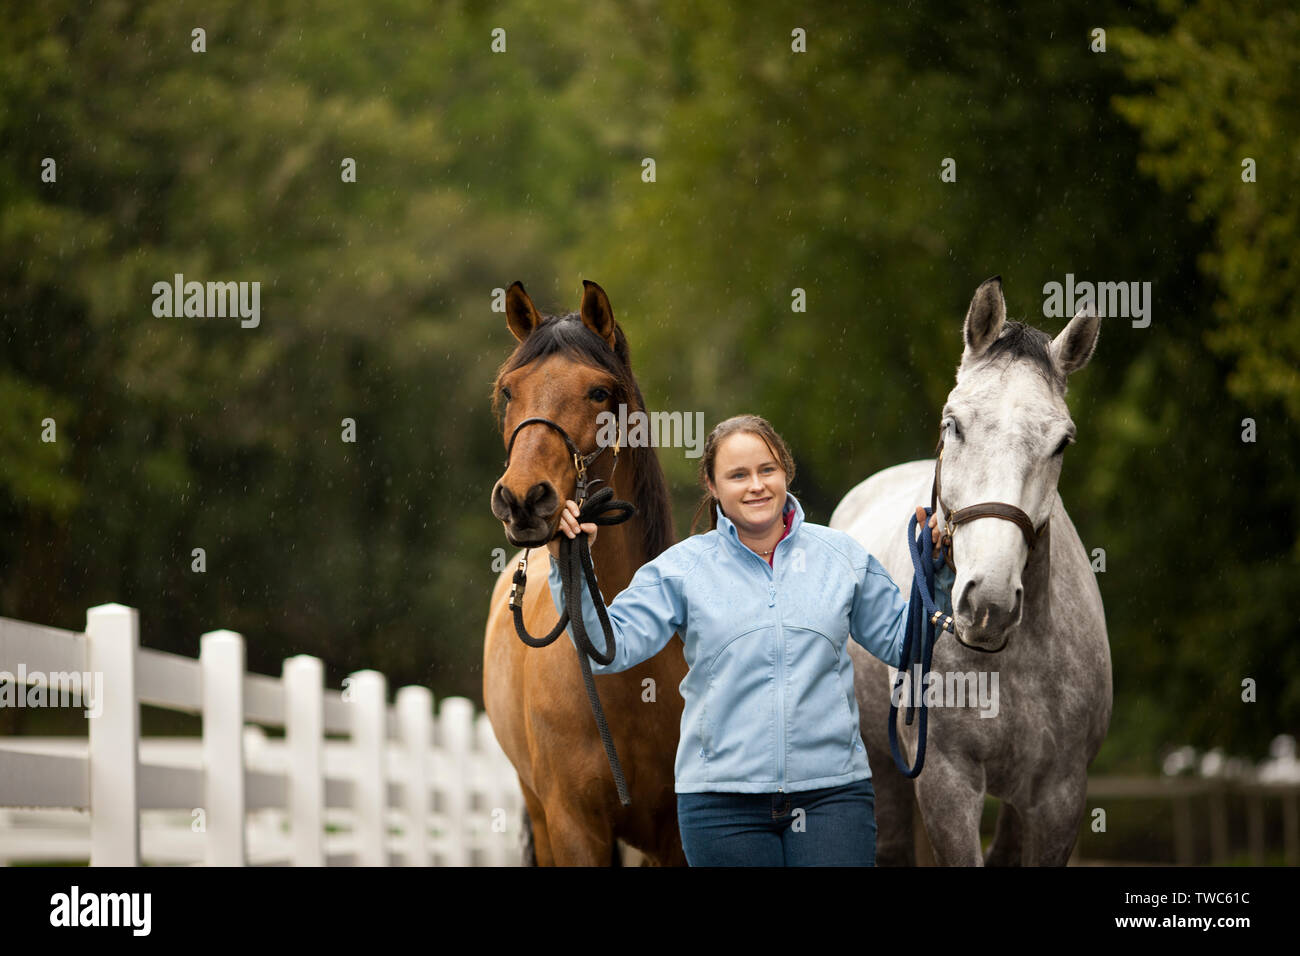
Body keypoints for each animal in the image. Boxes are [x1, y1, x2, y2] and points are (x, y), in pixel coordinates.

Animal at [829, 277, 1112, 865]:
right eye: (952, 423)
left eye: (1062, 442)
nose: (988, 604)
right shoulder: (946, 781)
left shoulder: (1060, 794)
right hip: (884, 769)